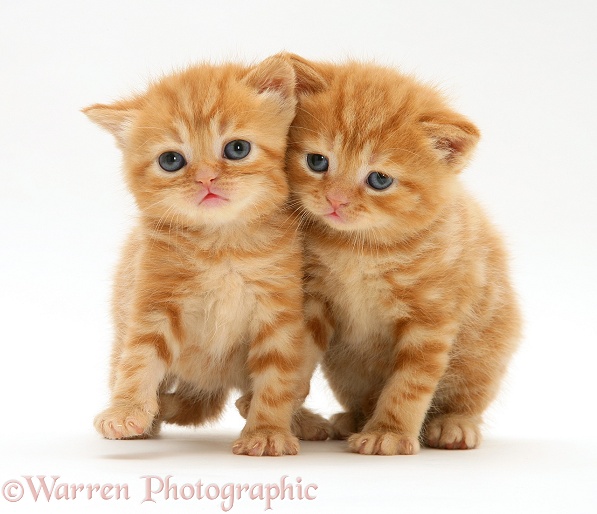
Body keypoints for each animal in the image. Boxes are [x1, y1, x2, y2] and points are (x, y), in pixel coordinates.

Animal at [83, 57, 322, 456]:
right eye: (171, 160)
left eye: (237, 149)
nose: (207, 178)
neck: (222, 245)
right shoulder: (153, 301)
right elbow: (139, 360)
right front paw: (127, 410)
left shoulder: (279, 311)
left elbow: (277, 378)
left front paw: (267, 431)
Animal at [284, 54, 520, 454]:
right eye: (317, 161)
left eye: (379, 180)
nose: (335, 200)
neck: (358, 247)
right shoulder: (313, 299)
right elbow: (296, 356)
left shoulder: (431, 318)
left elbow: (409, 385)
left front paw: (388, 434)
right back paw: (351, 419)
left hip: (485, 354)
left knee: (469, 398)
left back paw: (455, 425)